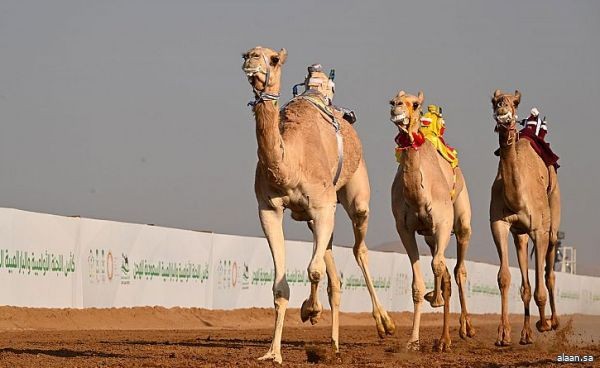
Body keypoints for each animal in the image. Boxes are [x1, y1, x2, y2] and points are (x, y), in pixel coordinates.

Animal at [241, 45, 396, 362]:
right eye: (245, 55)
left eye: (273, 59)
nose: (251, 61)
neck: (291, 163)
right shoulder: (269, 209)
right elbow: (280, 287)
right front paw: (273, 352)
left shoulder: (323, 206)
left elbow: (314, 270)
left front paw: (310, 311)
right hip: (315, 216)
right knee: (332, 271)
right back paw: (334, 343)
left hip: (355, 192)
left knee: (359, 248)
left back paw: (384, 323)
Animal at [386, 90, 476, 352]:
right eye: (393, 100)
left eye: (415, 104)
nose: (396, 107)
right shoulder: (404, 229)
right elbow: (417, 285)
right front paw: (413, 341)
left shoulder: (443, 223)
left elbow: (438, 266)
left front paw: (435, 301)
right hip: (428, 236)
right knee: (446, 271)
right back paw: (444, 337)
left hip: (462, 219)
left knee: (458, 269)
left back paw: (466, 328)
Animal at [490, 90, 560, 346]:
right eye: (495, 101)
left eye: (514, 102)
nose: (502, 109)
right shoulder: (499, 225)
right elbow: (504, 278)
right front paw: (503, 334)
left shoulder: (538, 230)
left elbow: (541, 284)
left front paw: (544, 324)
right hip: (520, 235)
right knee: (526, 282)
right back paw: (526, 334)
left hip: (552, 216)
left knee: (549, 274)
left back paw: (553, 322)